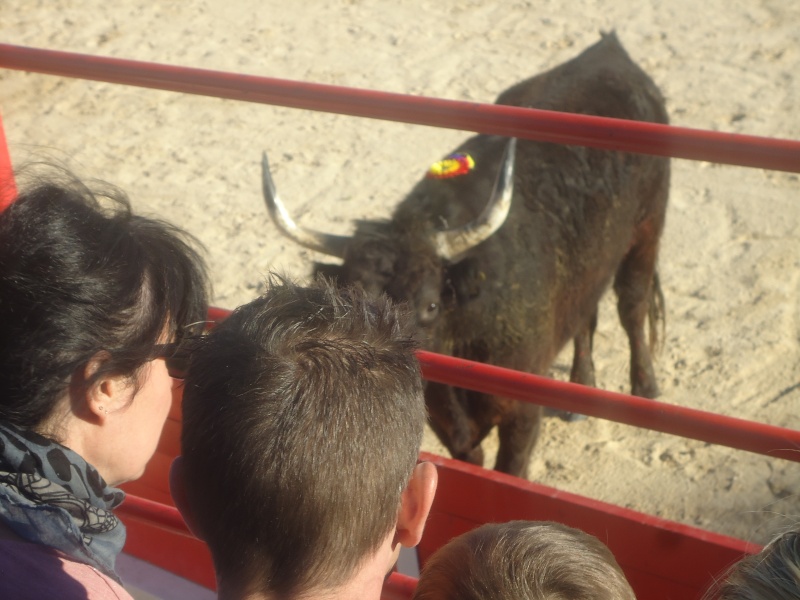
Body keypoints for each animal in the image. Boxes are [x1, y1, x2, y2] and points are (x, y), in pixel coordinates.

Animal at [260, 32, 668, 476]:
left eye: (431, 306)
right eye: (350, 305)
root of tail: (610, 50)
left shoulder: (522, 414)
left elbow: (510, 469)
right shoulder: (448, 426)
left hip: (647, 230)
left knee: (632, 304)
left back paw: (645, 387)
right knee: (585, 313)